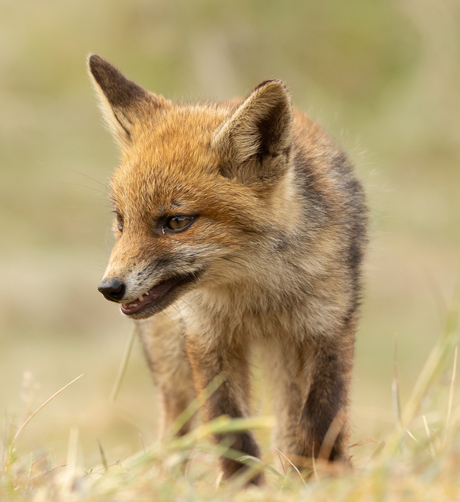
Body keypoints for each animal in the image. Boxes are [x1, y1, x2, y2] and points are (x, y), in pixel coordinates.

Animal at [89, 54, 366, 482]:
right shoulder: (206, 339)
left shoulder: (329, 327)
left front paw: (329, 480)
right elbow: (231, 431)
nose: (109, 288)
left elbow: (322, 421)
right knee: (175, 428)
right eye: (122, 221)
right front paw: (245, 487)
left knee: (290, 422)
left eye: (176, 222)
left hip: (289, 349)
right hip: (173, 365)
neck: (256, 295)